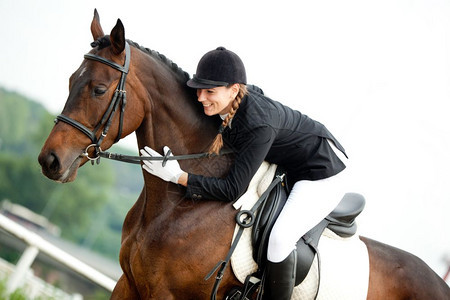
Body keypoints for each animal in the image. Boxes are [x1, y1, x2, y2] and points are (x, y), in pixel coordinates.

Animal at [38, 9, 450, 300]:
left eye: (99, 89)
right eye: (71, 80)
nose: (49, 161)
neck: (178, 203)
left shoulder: (165, 294)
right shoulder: (130, 284)